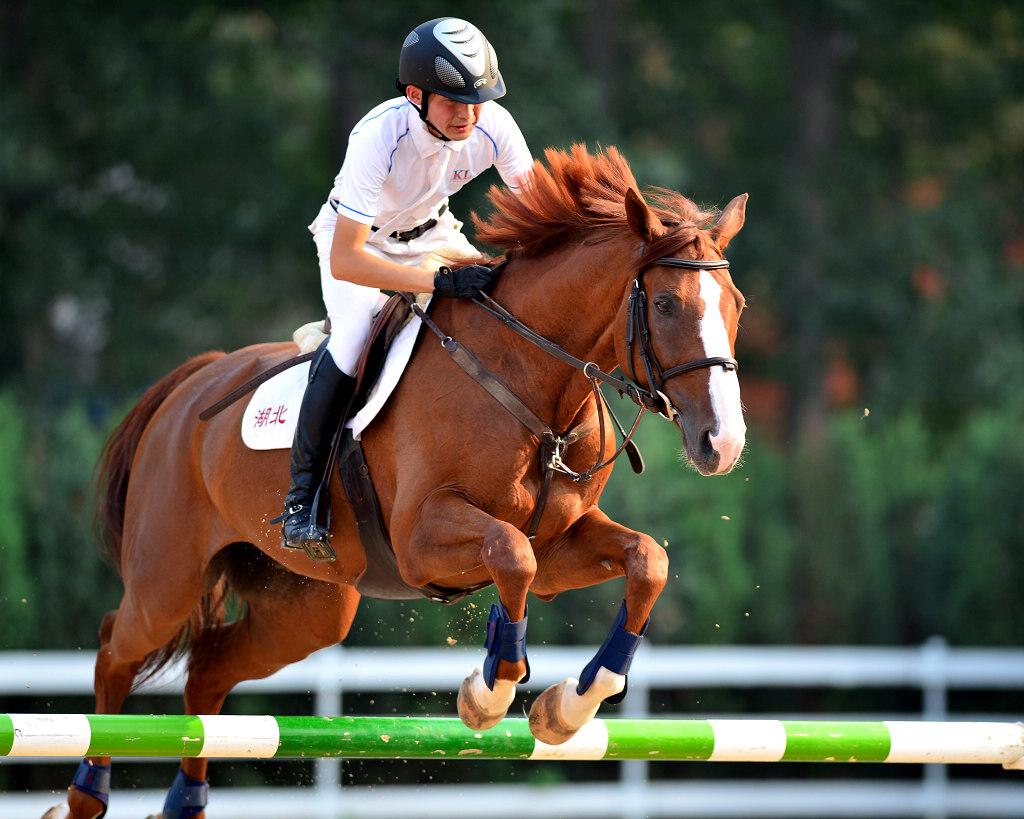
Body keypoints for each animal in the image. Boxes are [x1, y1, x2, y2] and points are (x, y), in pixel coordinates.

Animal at [49, 144, 747, 819]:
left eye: (736, 307)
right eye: (665, 304)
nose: (724, 443)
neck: (528, 378)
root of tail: (195, 379)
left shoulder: (559, 546)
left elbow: (645, 561)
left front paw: (569, 706)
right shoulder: (421, 540)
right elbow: (509, 554)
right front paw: (488, 694)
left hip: (308, 610)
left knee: (208, 671)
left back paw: (186, 801)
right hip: (166, 579)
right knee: (116, 648)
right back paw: (86, 794)